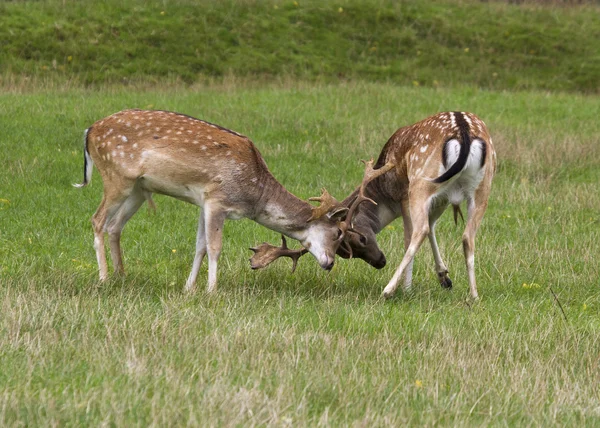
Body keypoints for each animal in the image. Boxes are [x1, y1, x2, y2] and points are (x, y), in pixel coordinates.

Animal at [74, 108, 370, 292]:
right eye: (337, 233)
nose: (330, 264)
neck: (255, 191)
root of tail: (89, 131)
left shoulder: (202, 203)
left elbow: (200, 246)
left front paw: (189, 288)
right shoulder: (217, 199)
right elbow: (215, 247)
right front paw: (211, 290)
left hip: (137, 188)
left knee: (114, 226)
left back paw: (121, 276)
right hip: (116, 176)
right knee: (97, 220)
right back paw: (103, 278)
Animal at [253, 112, 496, 300]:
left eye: (359, 239)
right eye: (346, 253)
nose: (380, 262)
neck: (385, 194)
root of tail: (464, 132)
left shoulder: (404, 196)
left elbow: (413, 235)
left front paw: (408, 289)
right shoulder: (442, 198)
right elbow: (433, 228)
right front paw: (444, 277)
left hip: (420, 182)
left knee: (419, 231)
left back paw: (389, 289)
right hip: (482, 187)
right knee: (466, 236)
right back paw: (474, 295)